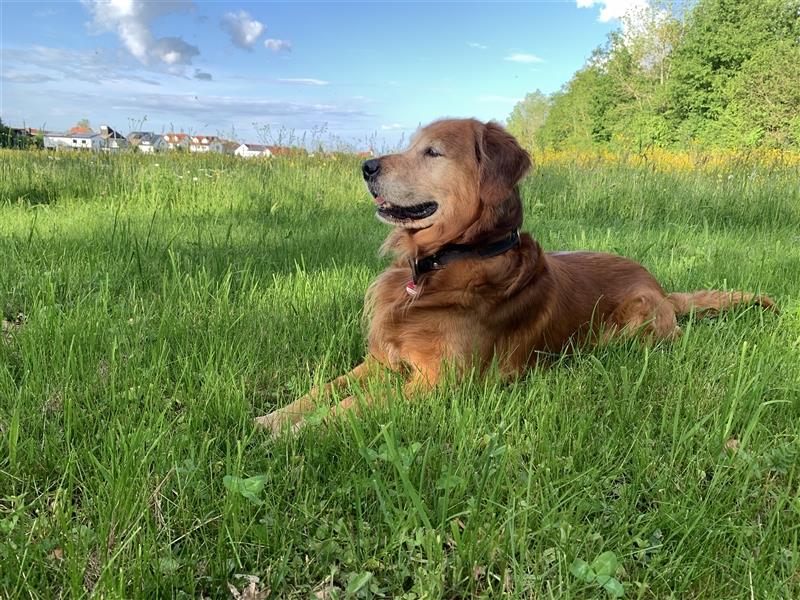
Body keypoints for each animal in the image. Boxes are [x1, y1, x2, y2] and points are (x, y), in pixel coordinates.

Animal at [255, 118, 776, 436]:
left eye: (432, 152)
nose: (366, 165)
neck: (448, 261)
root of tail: (661, 287)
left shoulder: (440, 383)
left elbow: (353, 406)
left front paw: (295, 434)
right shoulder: (383, 361)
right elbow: (324, 389)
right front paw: (271, 419)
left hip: (633, 323)